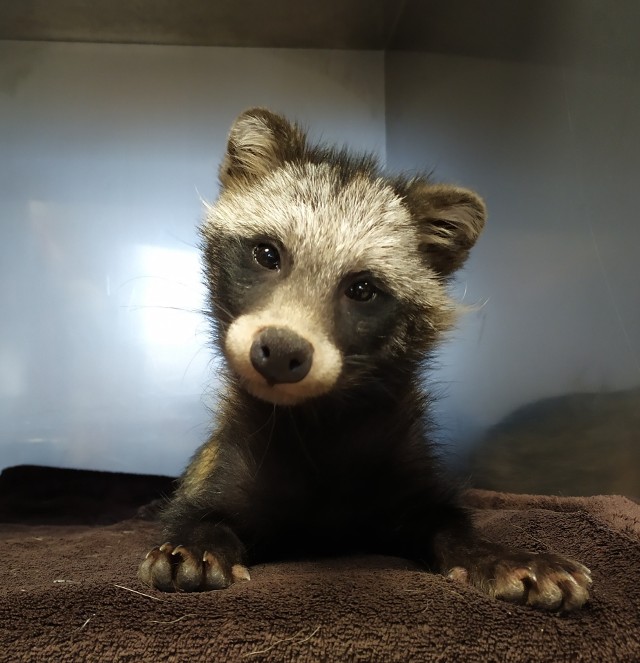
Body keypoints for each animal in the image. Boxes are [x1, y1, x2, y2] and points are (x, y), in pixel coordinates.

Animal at [139, 107, 592, 612]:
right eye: (267, 253)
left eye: (362, 288)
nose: (281, 351)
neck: (315, 421)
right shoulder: (226, 458)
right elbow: (199, 515)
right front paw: (196, 542)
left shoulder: (403, 465)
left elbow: (447, 520)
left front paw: (496, 553)